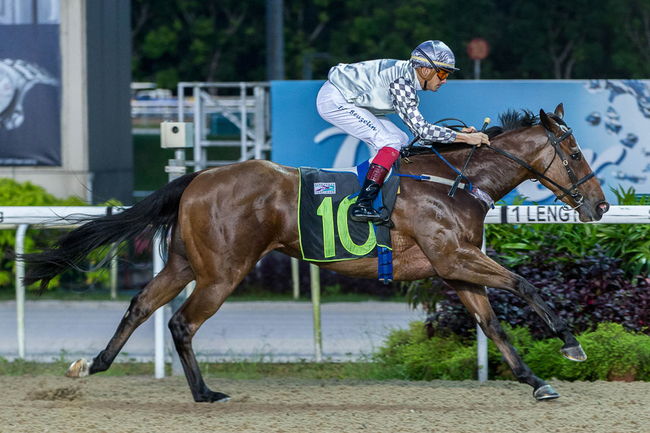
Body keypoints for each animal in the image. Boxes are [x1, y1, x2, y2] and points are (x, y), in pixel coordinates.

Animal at [20, 103, 608, 400]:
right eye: (576, 152)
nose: (600, 205)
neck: (456, 183)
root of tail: (200, 176)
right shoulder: (453, 258)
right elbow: (525, 285)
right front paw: (571, 344)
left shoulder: (456, 267)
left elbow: (493, 324)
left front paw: (536, 381)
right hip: (224, 271)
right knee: (182, 323)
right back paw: (205, 393)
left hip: (189, 263)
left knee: (142, 305)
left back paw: (92, 365)